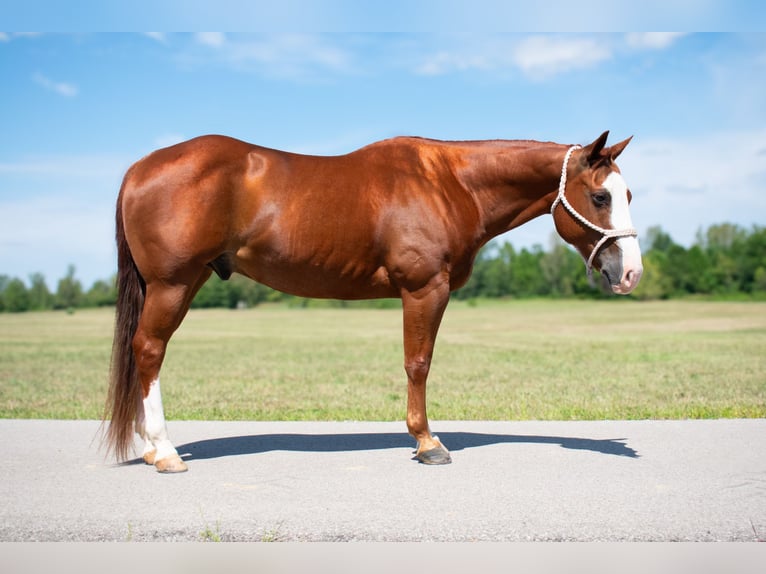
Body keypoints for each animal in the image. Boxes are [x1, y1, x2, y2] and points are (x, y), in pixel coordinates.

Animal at [102, 130, 640, 472]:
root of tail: (139, 168)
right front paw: (427, 443)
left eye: (628, 193)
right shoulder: (424, 288)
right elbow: (418, 363)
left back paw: (151, 449)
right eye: (600, 197)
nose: (631, 273)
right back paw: (164, 452)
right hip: (173, 283)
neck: (451, 182)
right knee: (149, 350)